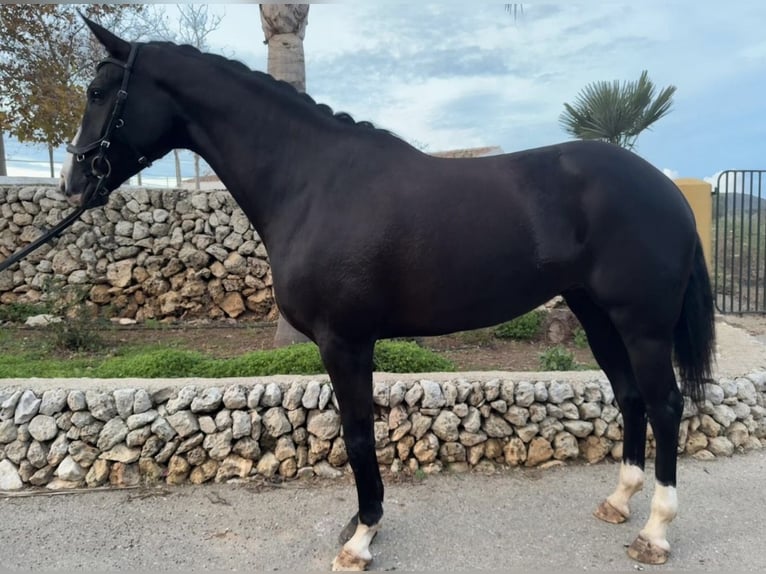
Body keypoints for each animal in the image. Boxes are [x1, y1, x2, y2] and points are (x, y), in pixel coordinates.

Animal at [60, 17, 715, 571]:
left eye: (98, 92)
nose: (73, 182)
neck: (314, 182)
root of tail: (666, 188)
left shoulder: (344, 342)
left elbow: (356, 434)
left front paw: (361, 537)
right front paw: (358, 523)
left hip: (642, 324)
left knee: (664, 404)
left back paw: (654, 532)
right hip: (598, 315)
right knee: (629, 397)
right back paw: (619, 501)